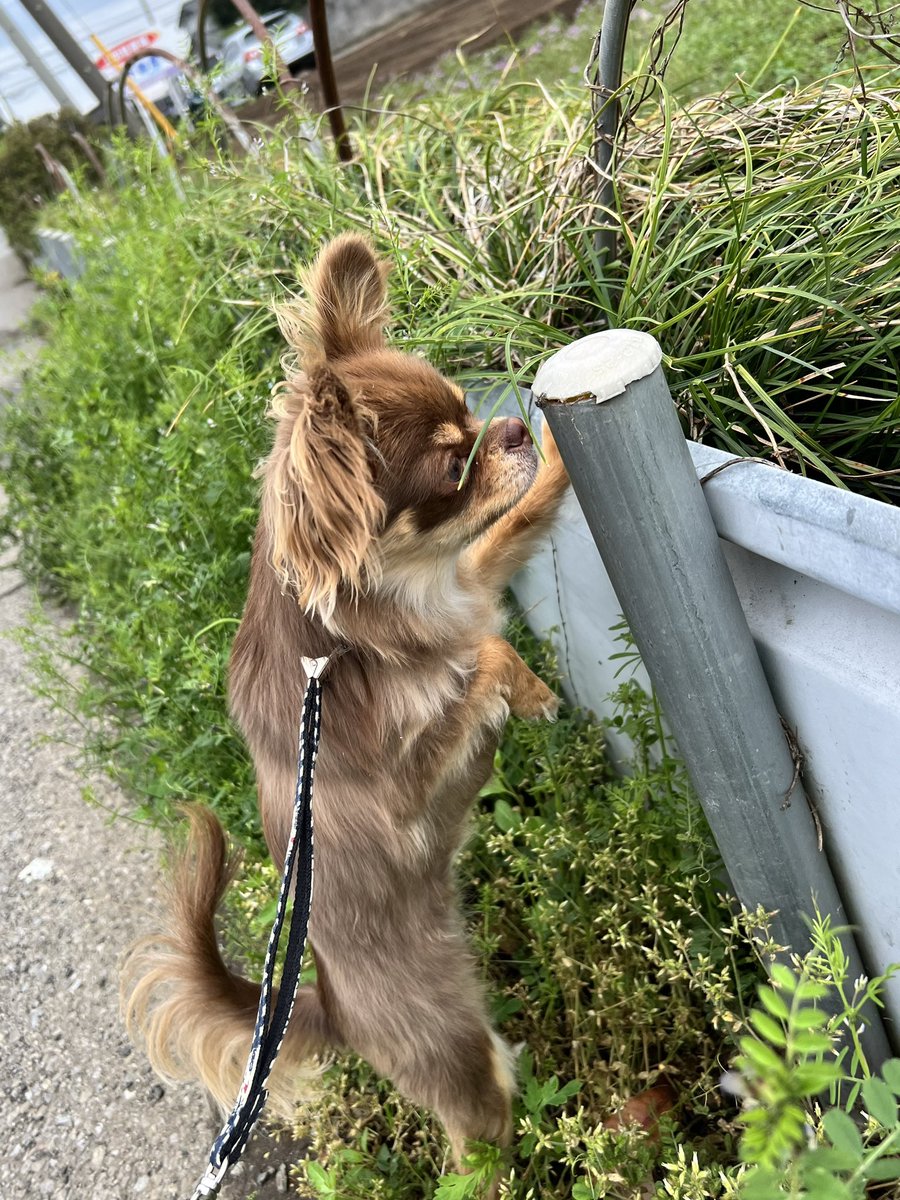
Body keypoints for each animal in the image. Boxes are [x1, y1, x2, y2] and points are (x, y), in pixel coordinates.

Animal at [123, 231, 571, 1180]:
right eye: (450, 462)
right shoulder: (406, 792)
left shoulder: (469, 582)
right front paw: (534, 693)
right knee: (475, 1153)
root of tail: (329, 1006)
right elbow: (481, 661)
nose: (509, 428)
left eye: (476, 416)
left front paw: (554, 456)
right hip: (456, 1057)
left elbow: (510, 546)